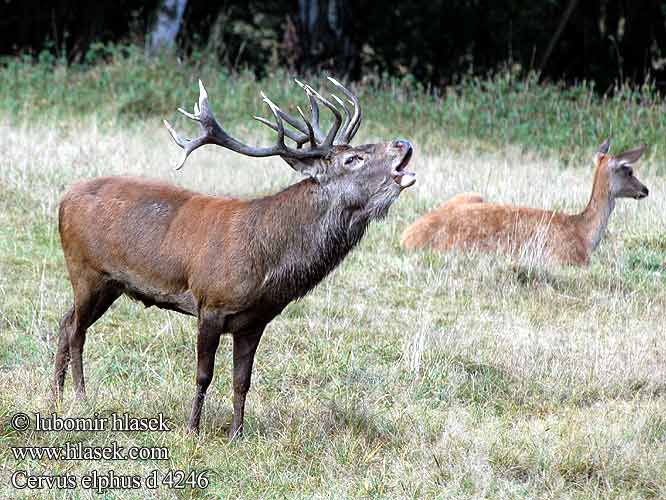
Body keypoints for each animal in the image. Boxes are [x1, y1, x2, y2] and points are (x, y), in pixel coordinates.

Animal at [400, 141, 648, 266]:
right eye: (629, 170)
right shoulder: (565, 258)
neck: (583, 235)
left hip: (472, 194)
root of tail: (406, 237)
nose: (645, 189)